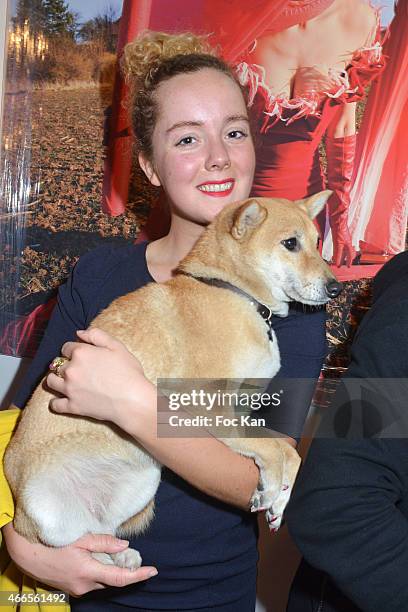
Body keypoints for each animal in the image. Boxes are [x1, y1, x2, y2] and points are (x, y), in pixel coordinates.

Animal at [3, 191, 342, 568]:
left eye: (317, 242)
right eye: (290, 244)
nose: (336, 288)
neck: (235, 292)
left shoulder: (242, 414)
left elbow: (288, 452)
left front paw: (281, 500)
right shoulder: (214, 412)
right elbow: (271, 450)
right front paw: (269, 488)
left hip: (143, 480)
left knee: (97, 535)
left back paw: (120, 558)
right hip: (46, 506)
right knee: (63, 545)